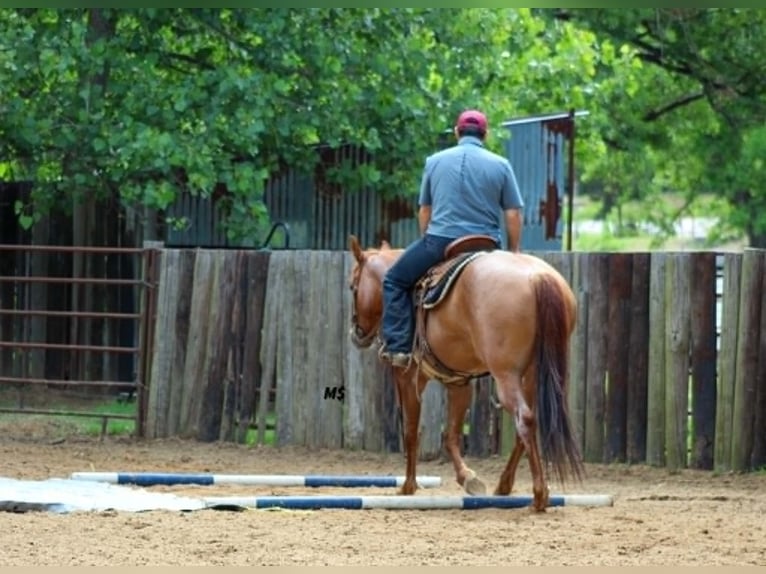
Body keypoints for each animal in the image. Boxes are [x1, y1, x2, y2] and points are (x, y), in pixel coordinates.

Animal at [346, 233, 584, 512]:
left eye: (353, 286)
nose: (357, 333)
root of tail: (537, 277)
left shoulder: (408, 376)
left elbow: (411, 431)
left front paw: (408, 486)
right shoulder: (458, 382)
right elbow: (451, 433)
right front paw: (467, 478)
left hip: (507, 377)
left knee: (524, 418)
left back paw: (539, 495)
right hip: (534, 376)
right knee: (526, 423)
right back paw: (504, 485)